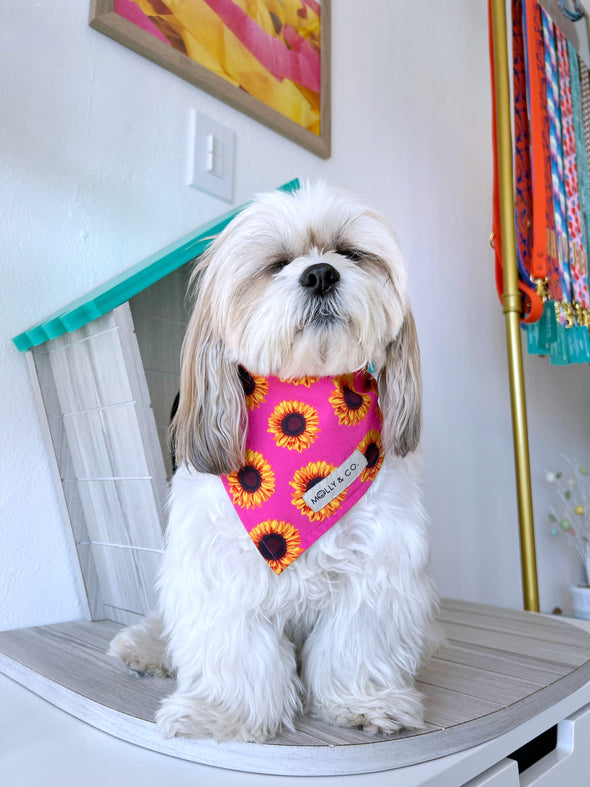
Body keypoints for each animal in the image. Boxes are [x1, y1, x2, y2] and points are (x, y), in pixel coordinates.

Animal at [110, 180, 440, 744]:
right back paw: (144, 649)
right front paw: (220, 715)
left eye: (350, 253)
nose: (321, 272)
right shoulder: (221, 574)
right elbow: (236, 653)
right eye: (277, 264)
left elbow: (356, 645)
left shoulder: (375, 572)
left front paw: (365, 703)